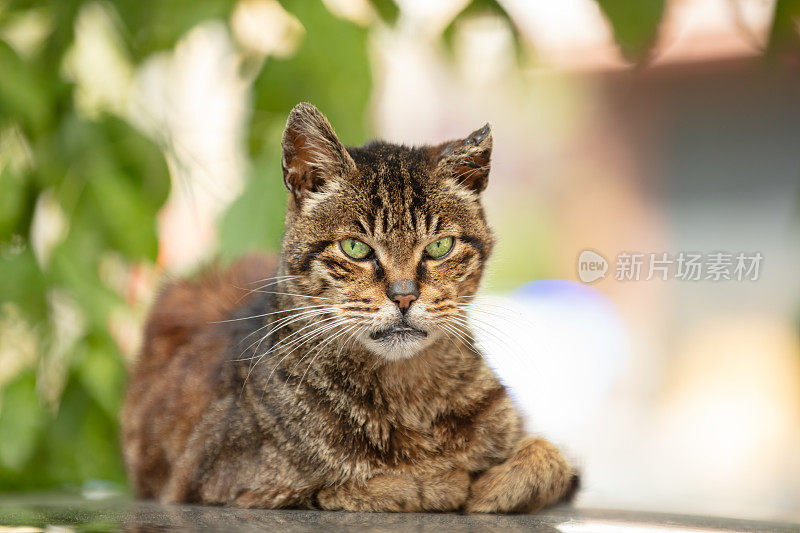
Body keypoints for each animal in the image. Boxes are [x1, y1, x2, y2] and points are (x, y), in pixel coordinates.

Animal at [120, 101, 576, 512]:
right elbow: (366, 485)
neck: (411, 394)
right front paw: (445, 482)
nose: (404, 295)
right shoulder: (231, 482)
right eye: (356, 248)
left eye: (440, 246)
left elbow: (549, 456)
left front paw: (494, 485)